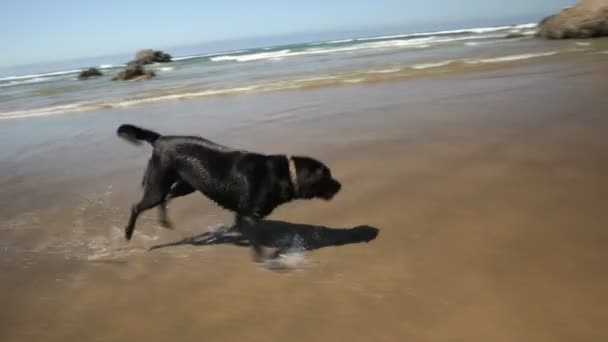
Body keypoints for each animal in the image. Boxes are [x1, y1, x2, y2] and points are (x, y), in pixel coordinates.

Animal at [115, 124, 342, 260]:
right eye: (327, 176)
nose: (340, 185)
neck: (284, 174)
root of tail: (160, 139)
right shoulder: (248, 215)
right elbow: (254, 238)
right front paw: (262, 257)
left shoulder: (243, 215)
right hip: (157, 184)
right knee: (138, 206)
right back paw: (128, 233)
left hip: (186, 185)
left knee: (166, 198)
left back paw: (165, 222)